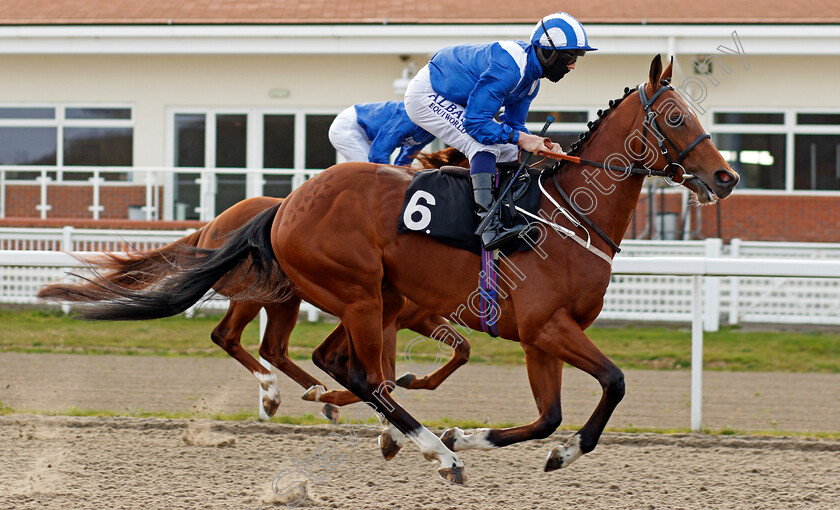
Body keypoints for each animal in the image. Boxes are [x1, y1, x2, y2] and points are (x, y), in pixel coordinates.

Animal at [37, 57, 736, 484]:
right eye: (677, 117)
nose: (726, 177)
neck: (565, 215)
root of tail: (287, 204)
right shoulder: (547, 326)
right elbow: (614, 383)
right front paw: (517, 449)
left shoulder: (540, 337)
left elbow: (548, 416)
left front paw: (487, 438)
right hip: (358, 293)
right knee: (354, 371)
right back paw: (424, 447)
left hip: (365, 298)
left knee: (329, 362)